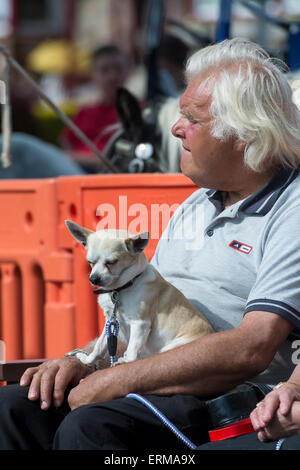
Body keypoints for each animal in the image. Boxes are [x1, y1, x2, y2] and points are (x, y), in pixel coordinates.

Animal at [65, 221, 213, 368]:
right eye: (90, 262)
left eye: (111, 262)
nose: (93, 279)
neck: (120, 289)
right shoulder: (110, 321)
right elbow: (100, 346)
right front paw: (87, 360)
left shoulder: (140, 323)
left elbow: (131, 351)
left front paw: (126, 362)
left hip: (170, 347)